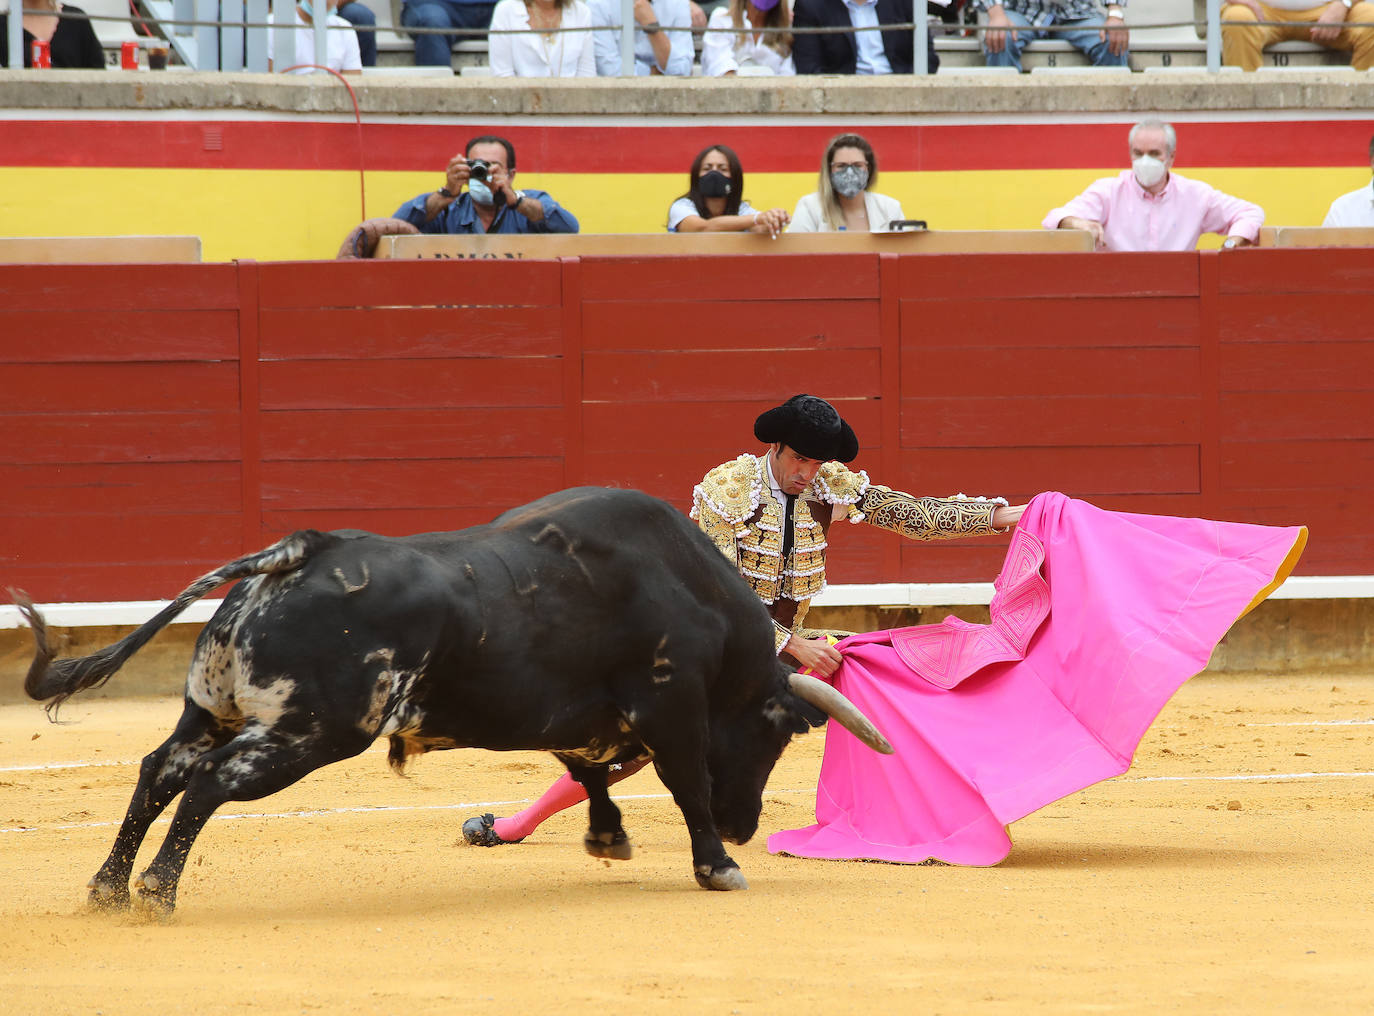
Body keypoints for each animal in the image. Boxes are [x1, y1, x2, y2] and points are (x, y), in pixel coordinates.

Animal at [16, 483, 895, 912]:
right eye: (782, 732)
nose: (748, 828)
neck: (694, 592)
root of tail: (299, 551)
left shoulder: (572, 709)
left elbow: (585, 770)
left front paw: (607, 837)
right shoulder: (670, 708)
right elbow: (682, 785)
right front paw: (718, 866)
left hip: (213, 708)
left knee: (159, 771)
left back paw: (107, 889)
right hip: (310, 733)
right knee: (206, 784)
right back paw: (154, 894)